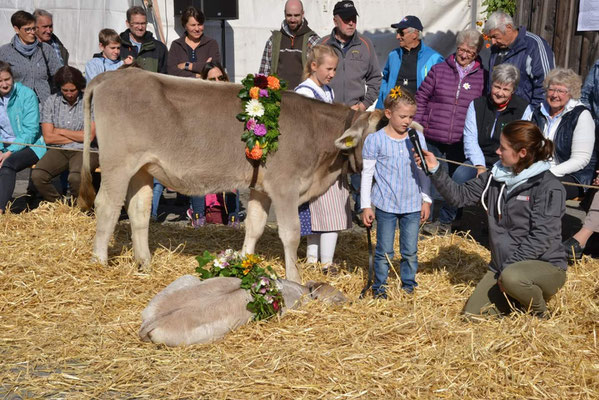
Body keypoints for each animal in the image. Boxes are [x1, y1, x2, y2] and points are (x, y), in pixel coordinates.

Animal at [78, 68, 384, 282]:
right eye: (375, 137)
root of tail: (112, 75)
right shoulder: (284, 186)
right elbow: (291, 233)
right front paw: (294, 278)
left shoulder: (261, 187)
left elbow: (255, 226)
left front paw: (244, 264)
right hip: (117, 164)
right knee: (107, 206)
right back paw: (99, 262)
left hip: (142, 168)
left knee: (138, 210)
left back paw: (145, 262)